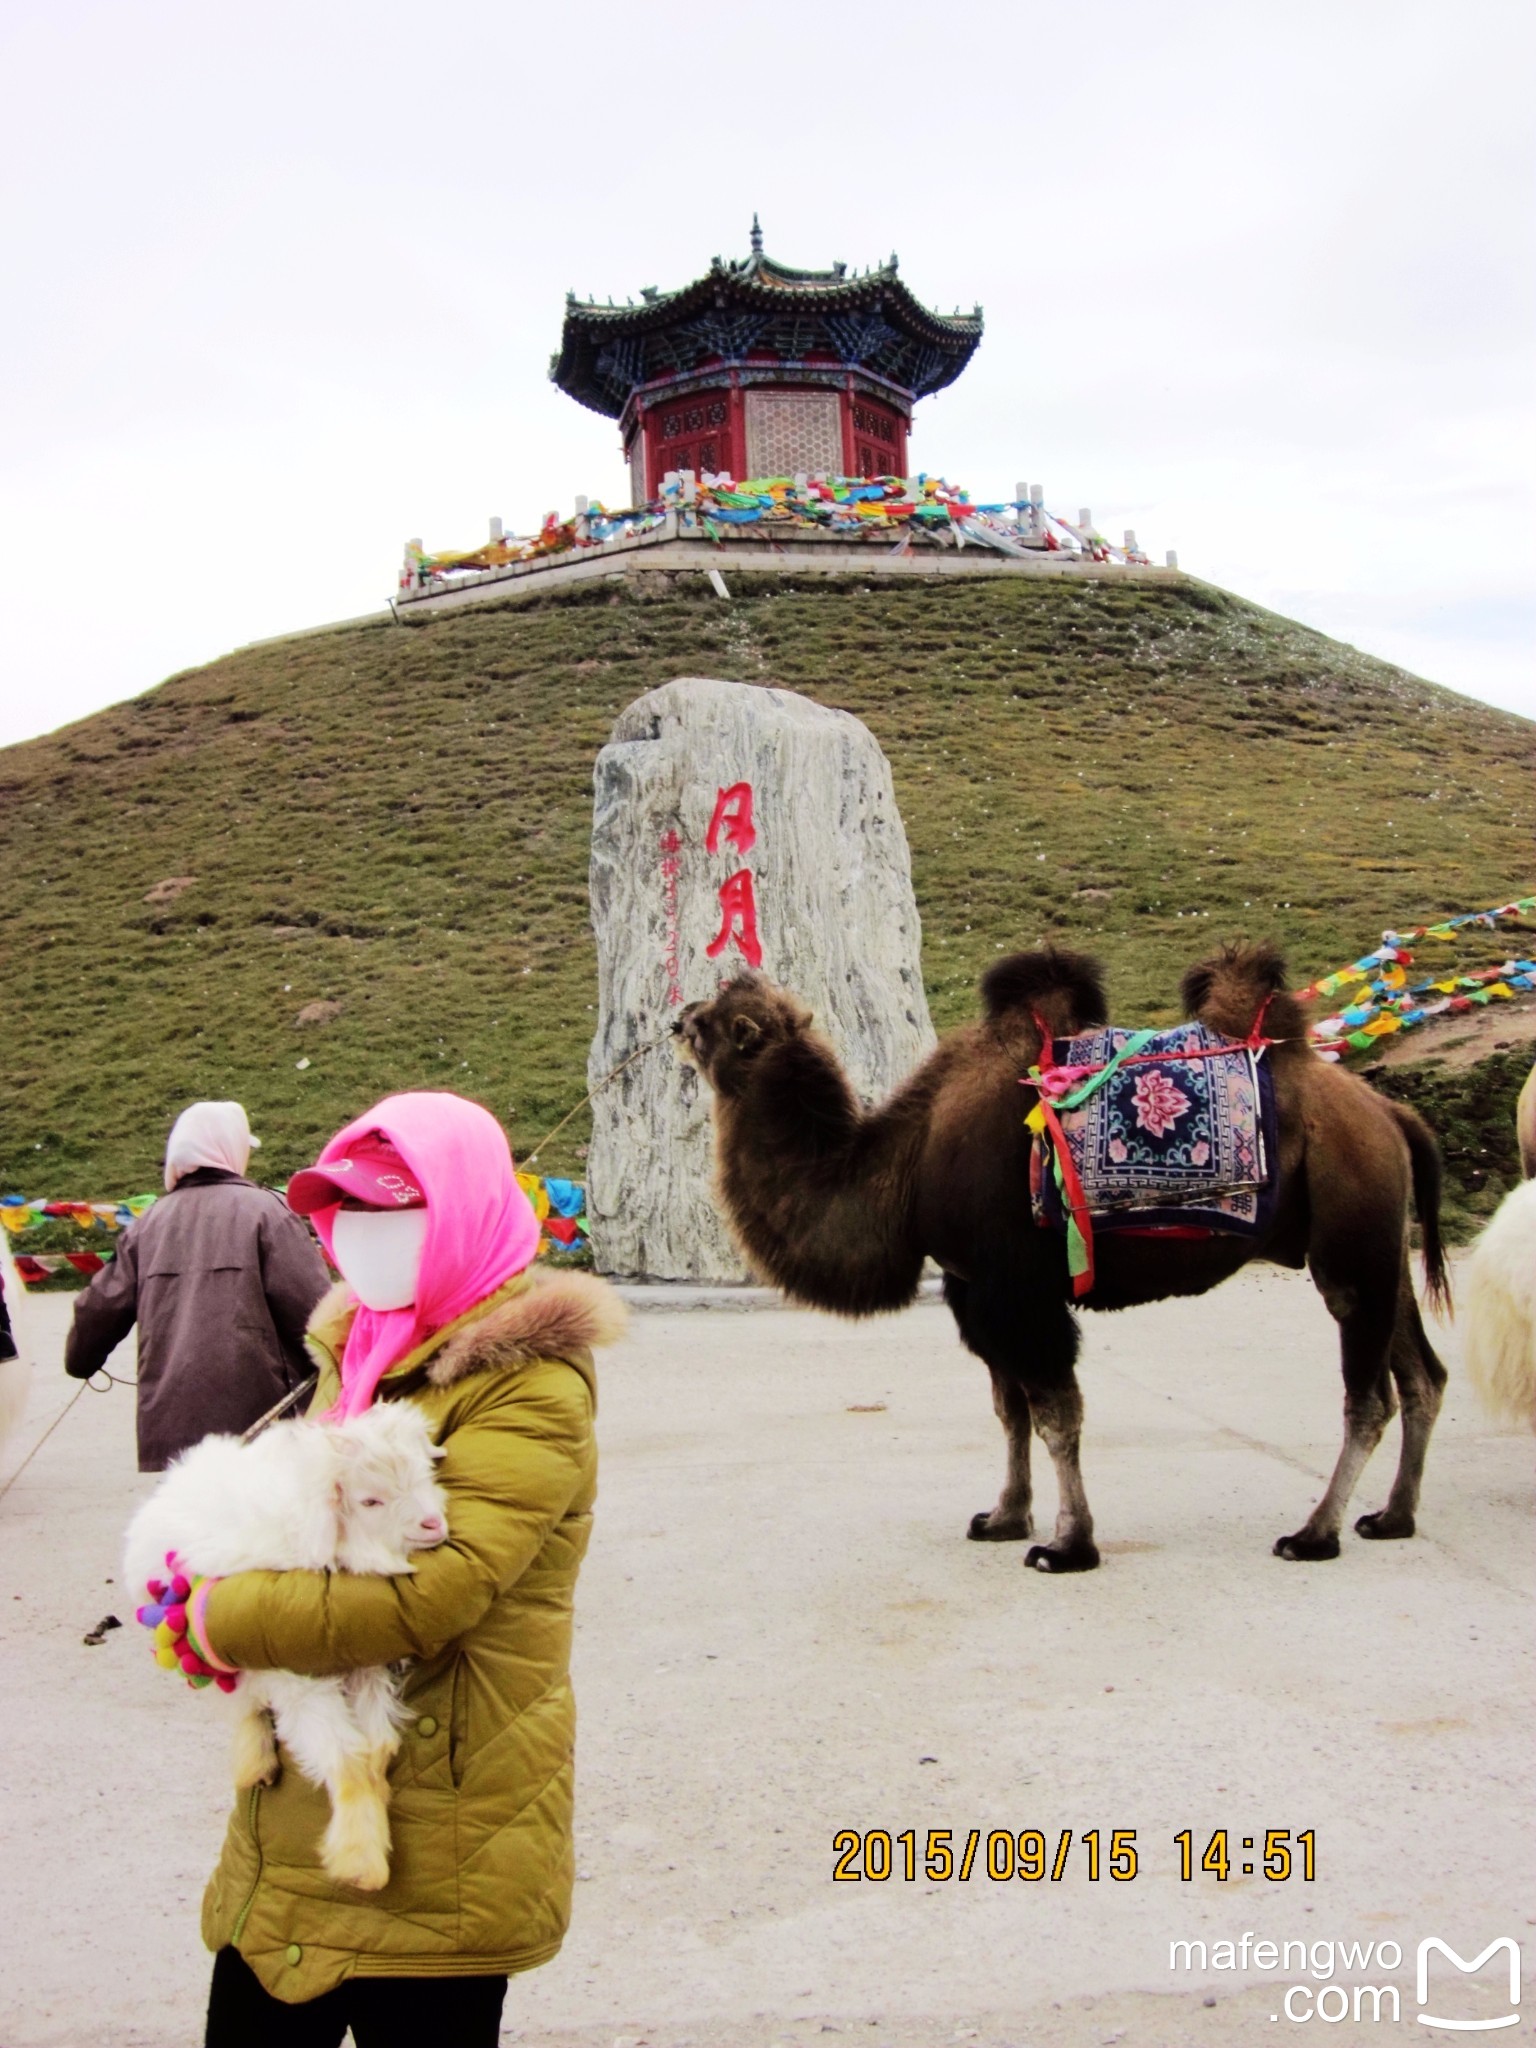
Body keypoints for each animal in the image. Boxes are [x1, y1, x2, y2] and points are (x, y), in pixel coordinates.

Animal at [123, 1409, 448, 1884]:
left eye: (424, 1475)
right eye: (370, 1501)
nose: (433, 1524)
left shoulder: (363, 1662)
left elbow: (378, 1746)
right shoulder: (295, 1673)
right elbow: (347, 1758)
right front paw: (360, 1864)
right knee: (242, 1705)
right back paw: (253, 1764)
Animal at [684, 942, 1458, 1564]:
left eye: (709, 1025)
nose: (676, 1015)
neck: (905, 1164)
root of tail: (1391, 1114)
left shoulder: (1017, 1289)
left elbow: (1056, 1411)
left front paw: (1066, 1545)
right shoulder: (977, 1290)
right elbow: (1011, 1409)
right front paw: (1003, 1517)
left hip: (1350, 1245)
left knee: (1370, 1397)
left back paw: (1313, 1534)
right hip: (1382, 1247)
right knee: (1424, 1375)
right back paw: (1393, 1517)